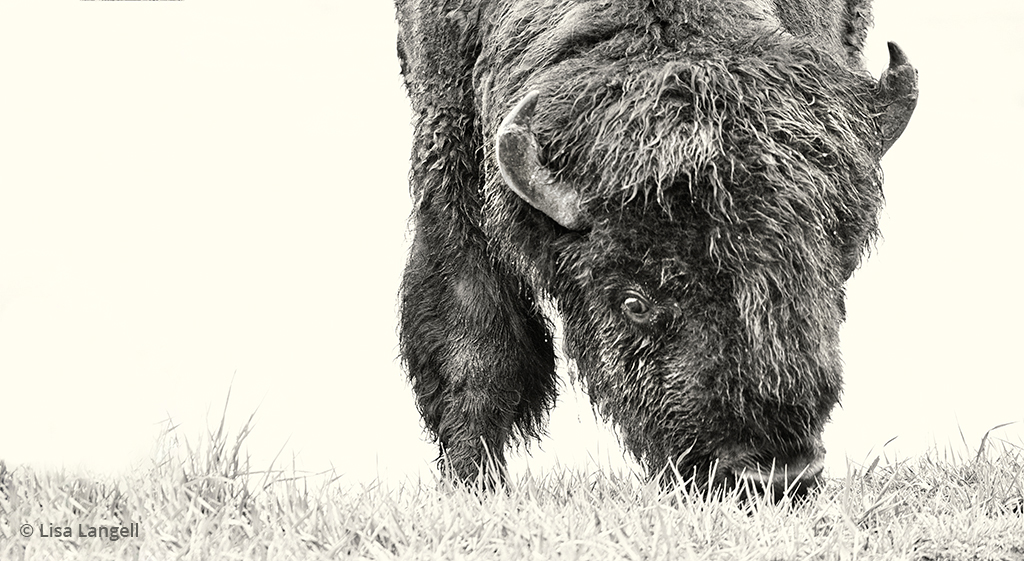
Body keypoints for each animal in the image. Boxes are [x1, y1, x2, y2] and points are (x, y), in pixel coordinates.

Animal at [394, 0, 917, 497]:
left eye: (831, 280)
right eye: (634, 302)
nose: (774, 475)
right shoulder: (450, 146)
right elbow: (475, 342)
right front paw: (476, 484)